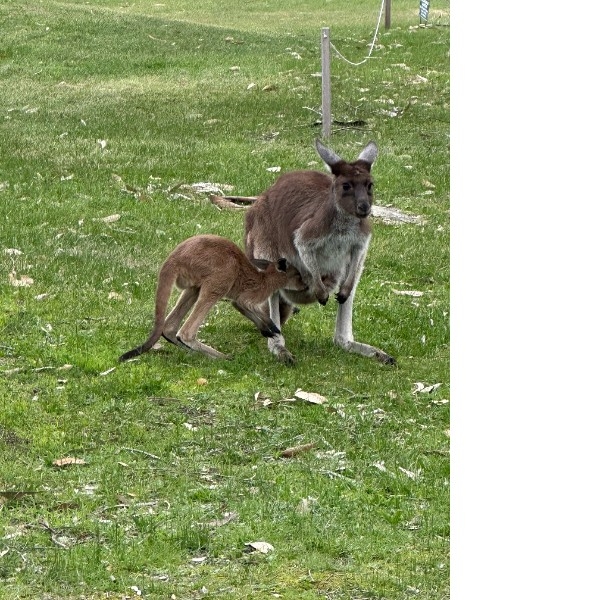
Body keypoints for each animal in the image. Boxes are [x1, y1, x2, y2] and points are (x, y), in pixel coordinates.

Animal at [118, 234, 307, 362]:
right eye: (298, 275)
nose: (306, 285)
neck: (266, 278)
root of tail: (173, 258)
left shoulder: (238, 300)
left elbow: (241, 307)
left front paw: (267, 330)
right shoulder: (248, 296)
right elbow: (247, 305)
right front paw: (272, 327)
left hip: (195, 285)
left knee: (170, 327)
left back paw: (194, 352)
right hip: (221, 277)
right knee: (186, 332)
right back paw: (222, 357)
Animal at [235, 139, 396, 366]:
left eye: (370, 185)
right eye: (346, 186)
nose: (364, 208)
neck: (345, 223)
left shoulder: (361, 241)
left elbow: (352, 266)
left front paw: (335, 292)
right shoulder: (306, 234)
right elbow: (303, 250)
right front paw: (319, 290)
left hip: (354, 268)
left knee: (343, 323)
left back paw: (367, 349)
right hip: (263, 243)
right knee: (274, 295)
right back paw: (280, 348)